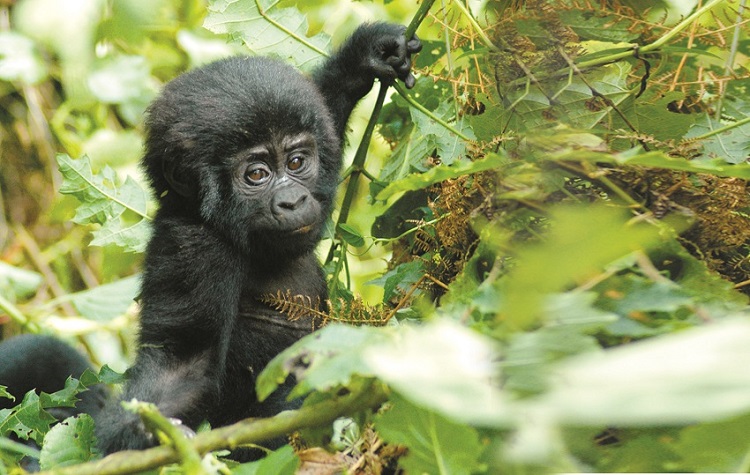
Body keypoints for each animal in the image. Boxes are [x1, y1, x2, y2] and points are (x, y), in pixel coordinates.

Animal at [91, 23, 420, 462]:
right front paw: (143, 431)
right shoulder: (194, 248)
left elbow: (327, 112)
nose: (293, 201)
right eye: (257, 174)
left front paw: (364, 57)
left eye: (297, 162)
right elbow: (184, 361)